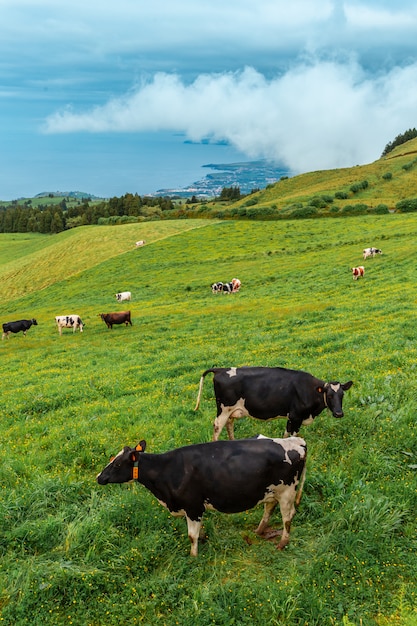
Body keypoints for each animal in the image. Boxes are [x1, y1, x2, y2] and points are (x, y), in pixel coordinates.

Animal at [96, 434, 306, 556]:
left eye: (117, 464)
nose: (99, 477)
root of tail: (296, 441)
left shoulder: (193, 506)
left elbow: (191, 535)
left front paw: (193, 556)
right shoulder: (191, 509)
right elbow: (197, 531)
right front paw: (203, 539)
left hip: (287, 492)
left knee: (288, 517)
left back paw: (282, 543)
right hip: (271, 491)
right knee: (269, 507)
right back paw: (259, 530)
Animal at [193, 366, 352, 438]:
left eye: (342, 395)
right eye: (329, 395)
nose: (339, 413)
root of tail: (220, 369)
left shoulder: (290, 417)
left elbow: (286, 434)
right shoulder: (296, 416)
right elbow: (293, 436)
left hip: (231, 411)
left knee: (229, 425)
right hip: (223, 409)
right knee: (217, 427)